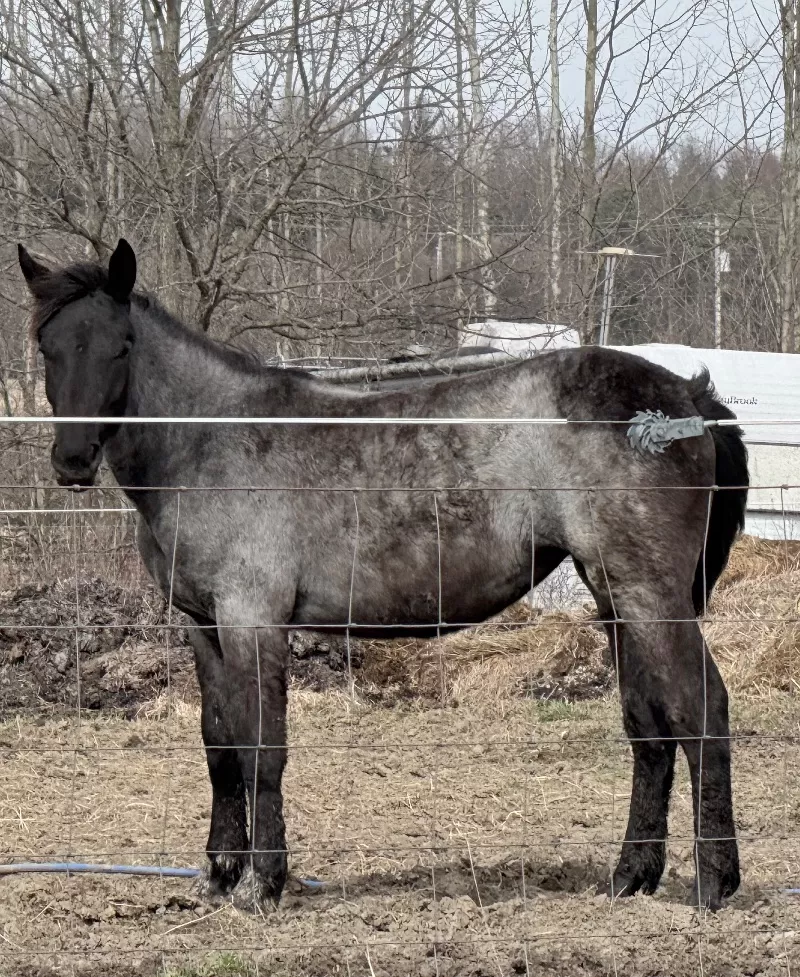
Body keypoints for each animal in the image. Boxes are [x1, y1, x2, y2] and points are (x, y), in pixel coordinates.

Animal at [17, 239, 748, 912]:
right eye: (48, 346)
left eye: (120, 346)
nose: (72, 460)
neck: (207, 441)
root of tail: (686, 395)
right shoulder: (203, 626)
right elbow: (220, 746)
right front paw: (223, 874)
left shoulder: (253, 620)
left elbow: (263, 747)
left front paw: (263, 882)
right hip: (614, 597)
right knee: (648, 725)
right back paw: (631, 876)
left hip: (651, 597)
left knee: (700, 709)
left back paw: (713, 883)